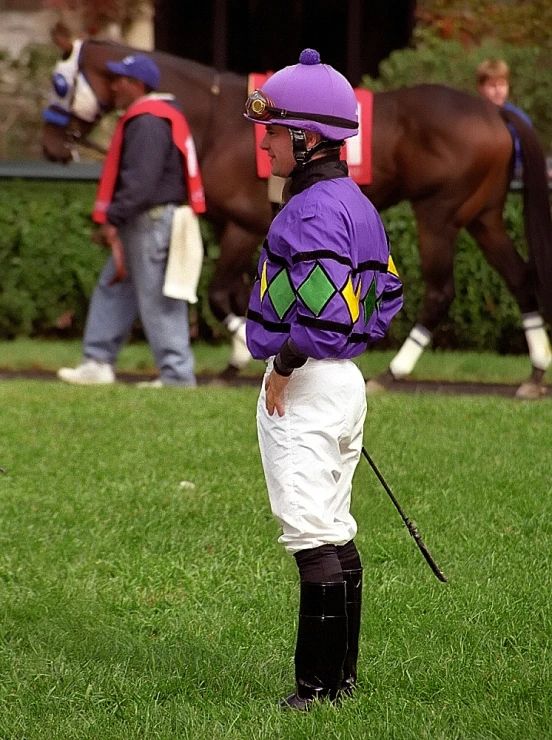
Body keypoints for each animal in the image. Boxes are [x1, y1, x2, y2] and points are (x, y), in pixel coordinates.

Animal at [40, 39, 552, 398]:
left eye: (60, 82)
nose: (50, 143)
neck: (215, 119)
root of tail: (494, 110)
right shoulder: (237, 227)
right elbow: (233, 295)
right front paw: (238, 359)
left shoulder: (243, 227)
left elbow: (220, 295)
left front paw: (243, 357)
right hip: (483, 216)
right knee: (520, 278)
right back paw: (535, 373)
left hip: (438, 214)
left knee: (442, 291)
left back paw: (394, 372)